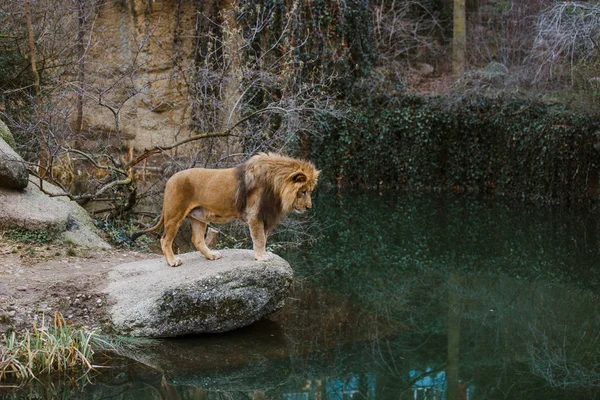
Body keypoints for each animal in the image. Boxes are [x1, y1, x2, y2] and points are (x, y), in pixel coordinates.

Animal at [131, 152, 318, 268]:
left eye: (310, 191)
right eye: (303, 192)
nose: (309, 207)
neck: (276, 186)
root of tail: (170, 178)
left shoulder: (265, 216)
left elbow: (264, 238)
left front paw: (262, 254)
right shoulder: (255, 216)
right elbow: (259, 239)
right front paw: (262, 257)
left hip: (198, 217)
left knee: (197, 240)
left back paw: (212, 256)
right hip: (174, 214)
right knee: (165, 240)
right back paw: (172, 261)